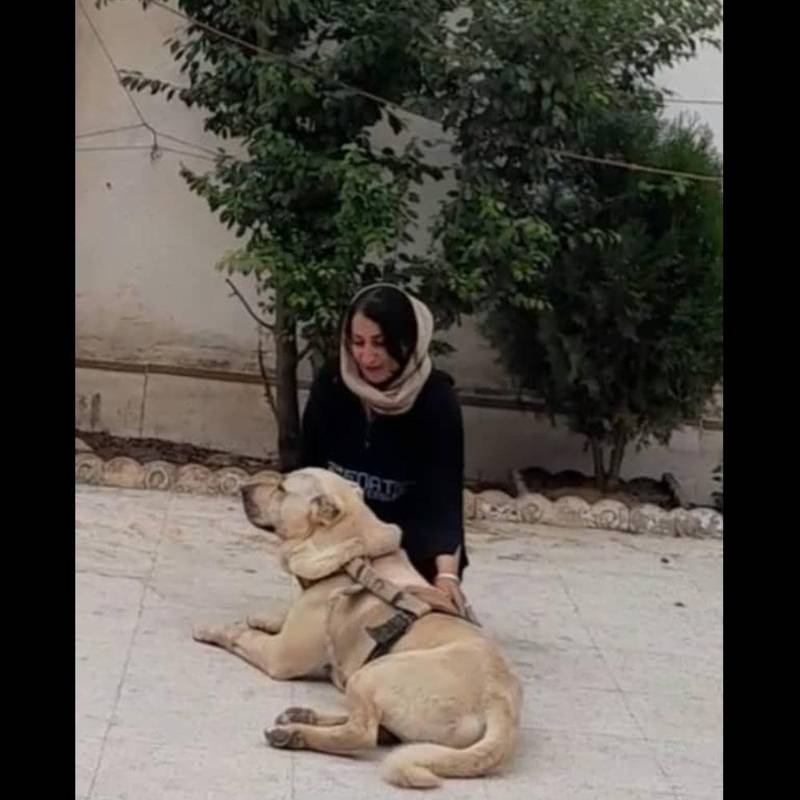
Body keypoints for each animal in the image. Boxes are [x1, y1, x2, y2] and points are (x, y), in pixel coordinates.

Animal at [192, 467, 522, 788]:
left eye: (283, 488)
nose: (243, 488)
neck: (352, 551)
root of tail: (500, 702)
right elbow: (276, 617)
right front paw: (263, 618)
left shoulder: (278, 656)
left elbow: (240, 634)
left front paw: (212, 628)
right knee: (374, 730)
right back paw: (302, 717)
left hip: (370, 675)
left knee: (362, 735)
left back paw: (295, 734)